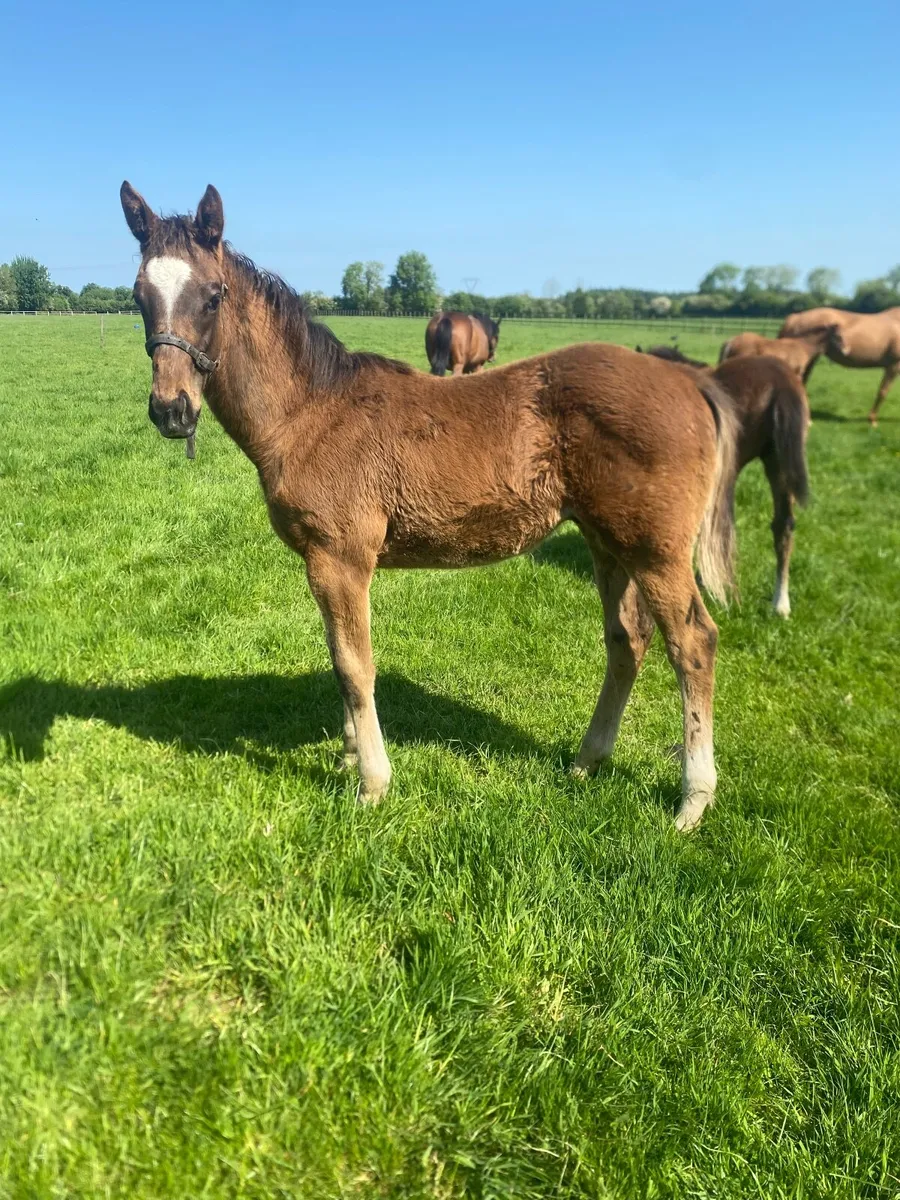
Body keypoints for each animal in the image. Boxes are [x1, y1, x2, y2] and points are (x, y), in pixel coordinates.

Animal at [121, 182, 739, 832]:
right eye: (138, 295)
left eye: (214, 295)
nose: (172, 409)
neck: (310, 413)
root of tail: (690, 382)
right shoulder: (327, 564)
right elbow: (339, 660)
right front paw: (348, 754)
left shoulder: (339, 559)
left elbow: (354, 664)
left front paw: (372, 781)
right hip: (607, 542)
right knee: (627, 640)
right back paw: (586, 761)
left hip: (655, 551)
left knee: (693, 643)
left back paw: (692, 800)